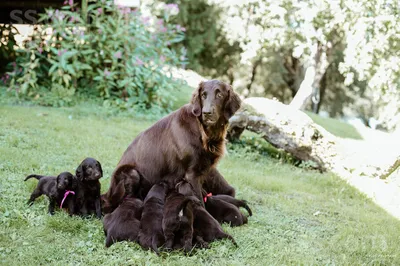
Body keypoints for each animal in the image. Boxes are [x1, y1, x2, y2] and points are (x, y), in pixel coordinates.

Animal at [104, 80, 241, 213]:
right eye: (203, 95)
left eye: (219, 95)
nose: (206, 113)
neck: (203, 131)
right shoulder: (192, 174)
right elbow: (200, 202)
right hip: (132, 173)